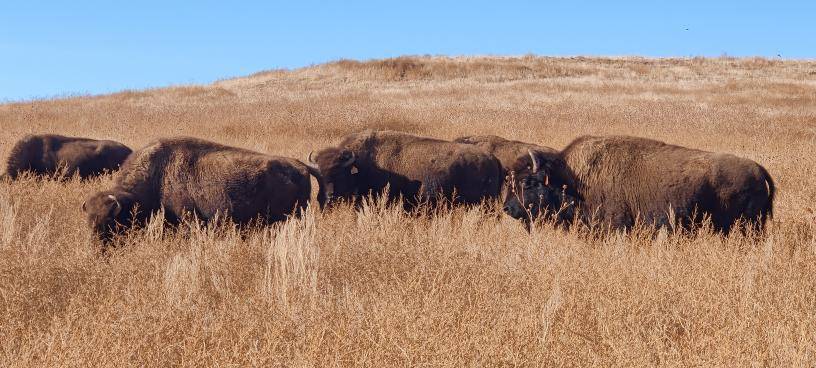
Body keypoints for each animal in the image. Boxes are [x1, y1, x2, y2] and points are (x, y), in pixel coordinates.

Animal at [82, 138, 326, 247]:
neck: (159, 172)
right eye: (88, 221)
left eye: (111, 221)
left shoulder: (189, 219)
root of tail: (302, 167)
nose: (97, 250)